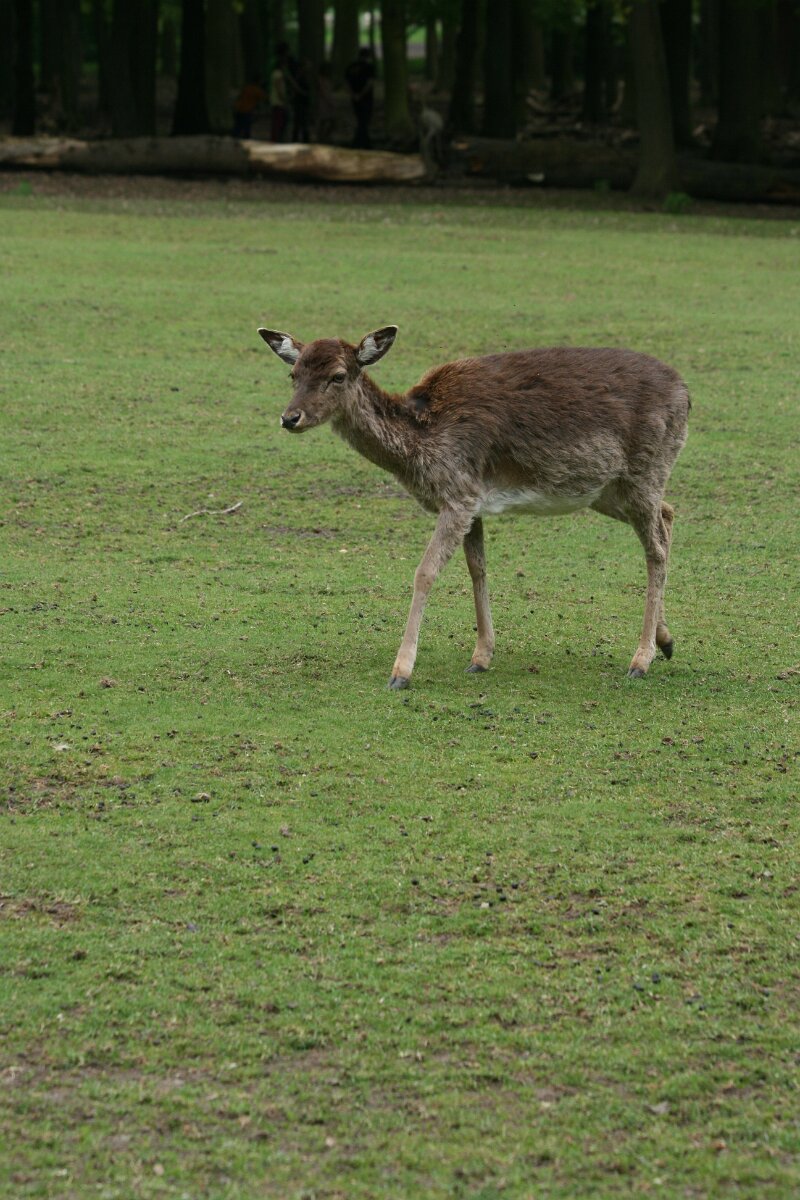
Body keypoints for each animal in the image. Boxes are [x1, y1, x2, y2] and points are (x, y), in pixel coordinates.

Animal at [258, 325, 690, 690]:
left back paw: (641, 659)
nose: (290, 417)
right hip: (606, 490)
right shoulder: (474, 501)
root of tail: (687, 393)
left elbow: (425, 572)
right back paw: (666, 640)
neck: (423, 443)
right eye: (293, 374)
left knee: (655, 549)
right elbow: (477, 568)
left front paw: (401, 672)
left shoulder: (458, 495)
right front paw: (481, 656)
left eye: (337, 375)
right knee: (668, 514)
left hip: (646, 470)